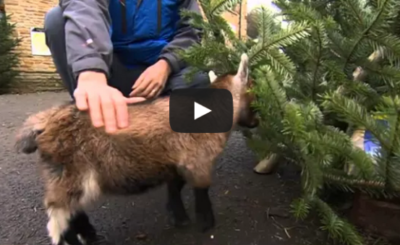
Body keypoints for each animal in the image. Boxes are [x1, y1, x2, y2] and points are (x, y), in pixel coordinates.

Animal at [14, 52, 260, 244]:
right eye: (253, 94)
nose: (256, 123)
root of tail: (44, 122)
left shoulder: (176, 161)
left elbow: (175, 186)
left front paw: (179, 217)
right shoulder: (198, 161)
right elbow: (201, 190)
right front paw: (207, 223)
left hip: (64, 174)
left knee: (72, 211)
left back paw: (90, 235)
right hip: (74, 173)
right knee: (58, 216)